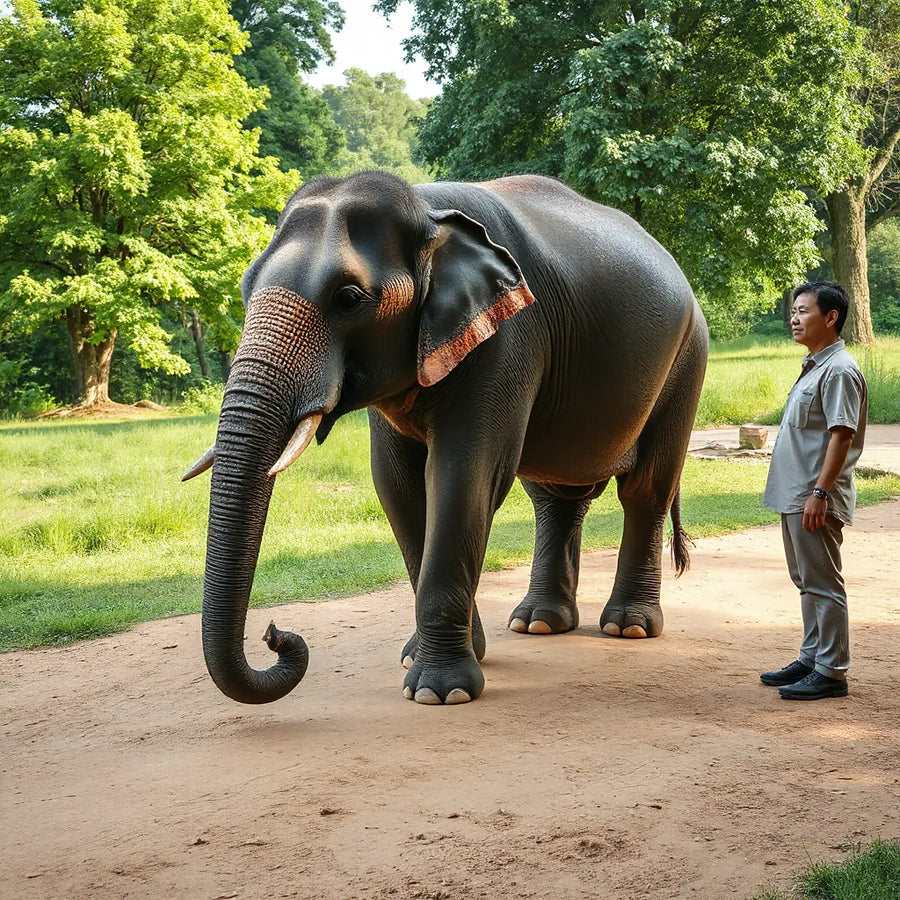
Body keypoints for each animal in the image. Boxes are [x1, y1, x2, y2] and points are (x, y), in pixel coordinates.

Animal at [183, 170, 708, 706]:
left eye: (348, 298)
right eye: (245, 288)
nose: (275, 634)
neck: (425, 208)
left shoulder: (508, 338)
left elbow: (463, 476)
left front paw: (439, 692)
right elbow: (396, 485)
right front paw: (430, 658)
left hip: (687, 359)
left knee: (645, 490)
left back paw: (628, 627)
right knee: (555, 496)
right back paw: (537, 623)